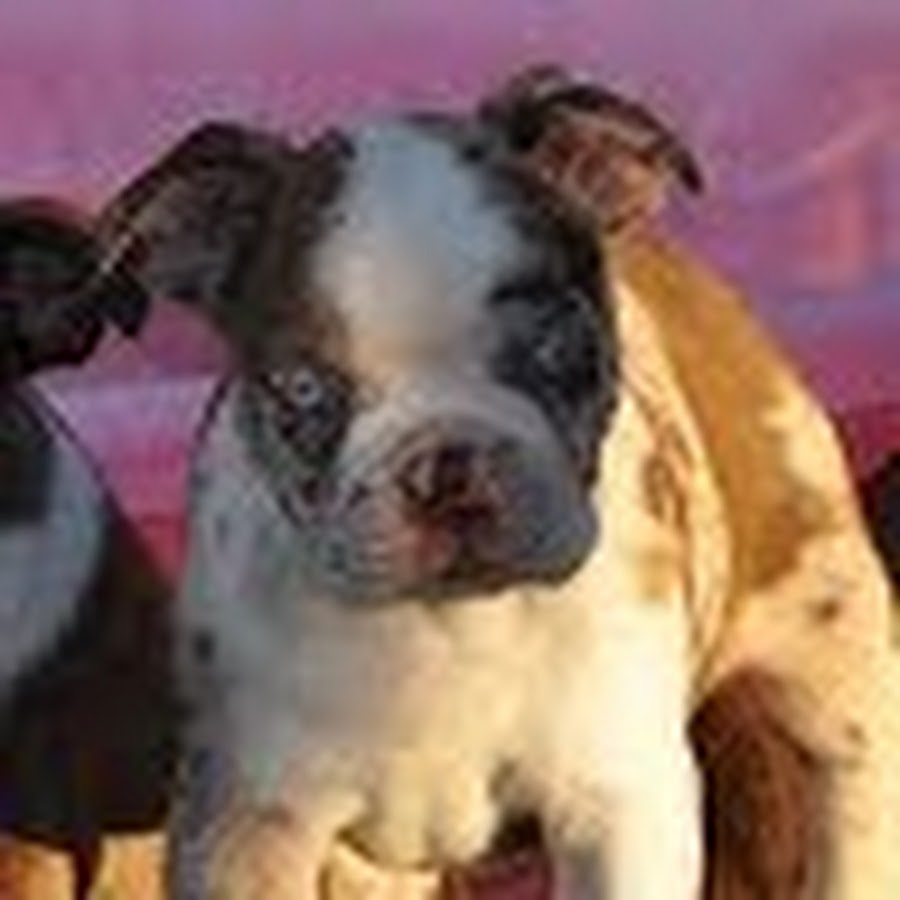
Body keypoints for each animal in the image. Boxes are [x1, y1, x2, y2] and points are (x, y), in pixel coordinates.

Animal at [44, 65, 899, 899]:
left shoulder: (617, 805)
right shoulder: (250, 825)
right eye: (303, 388)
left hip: (835, 652)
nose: (446, 464)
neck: (441, 623)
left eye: (555, 344)